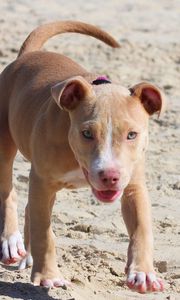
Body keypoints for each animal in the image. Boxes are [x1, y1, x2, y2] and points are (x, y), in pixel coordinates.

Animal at [0, 21, 165, 292]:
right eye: (86, 133)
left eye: (132, 134)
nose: (110, 176)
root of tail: (27, 55)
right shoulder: (43, 182)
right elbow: (45, 233)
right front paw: (48, 275)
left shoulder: (133, 185)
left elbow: (142, 229)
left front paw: (143, 273)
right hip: (5, 145)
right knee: (9, 193)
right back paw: (11, 242)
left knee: (29, 207)